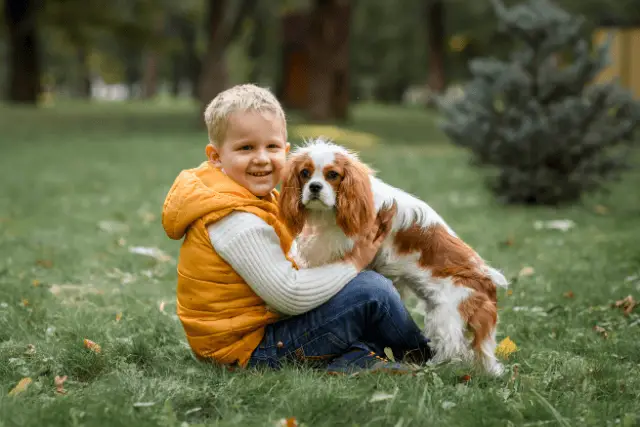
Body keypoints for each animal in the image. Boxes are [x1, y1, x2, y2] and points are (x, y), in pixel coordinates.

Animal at [280, 139, 510, 376]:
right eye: (305, 173)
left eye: (332, 175)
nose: (314, 187)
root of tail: (487, 281)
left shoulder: (339, 241)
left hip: (446, 316)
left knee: (452, 348)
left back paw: (432, 367)